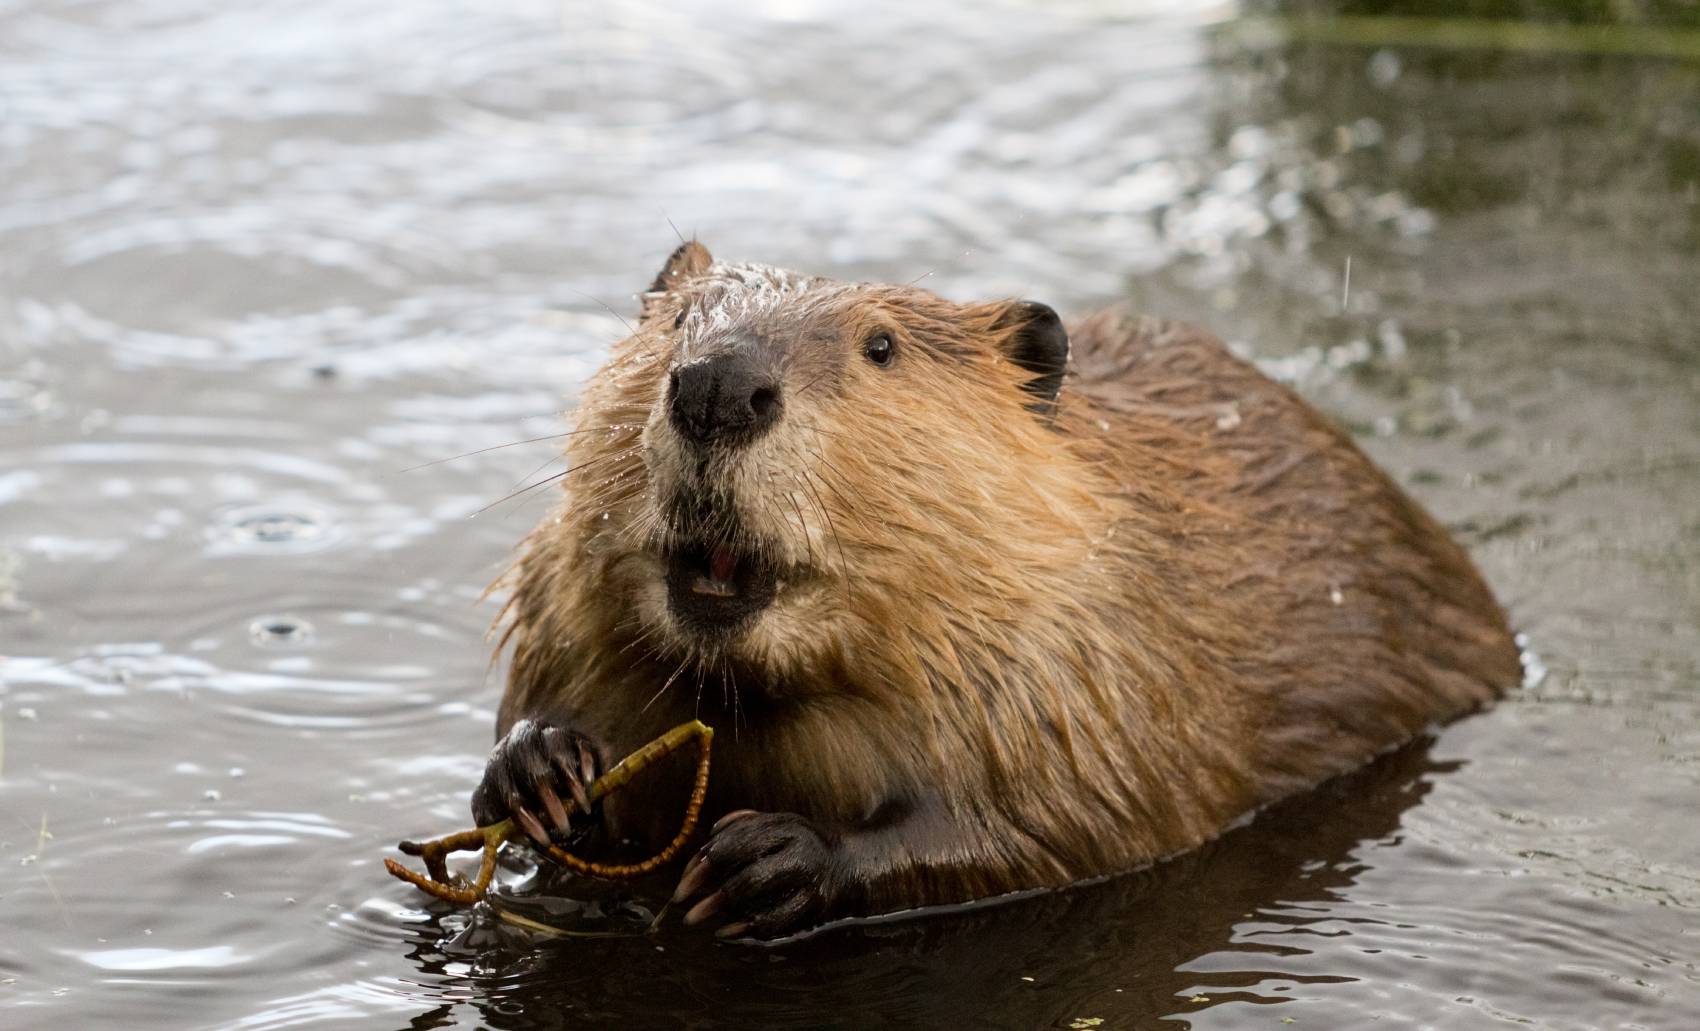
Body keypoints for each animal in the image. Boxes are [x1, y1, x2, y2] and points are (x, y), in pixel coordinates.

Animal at [472, 244, 1523, 945]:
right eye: (680, 321)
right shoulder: (559, 609)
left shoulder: (1092, 660)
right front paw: (541, 768)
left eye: (882, 346)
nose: (721, 387)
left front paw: (766, 861)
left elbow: (1070, 824)